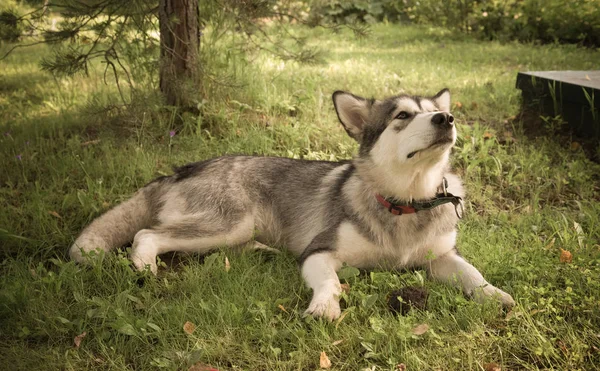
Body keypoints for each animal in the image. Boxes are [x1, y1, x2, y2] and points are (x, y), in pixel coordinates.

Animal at [70, 89, 516, 320]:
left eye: (436, 110)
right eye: (402, 115)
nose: (446, 118)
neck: (404, 202)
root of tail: (183, 168)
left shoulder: (443, 258)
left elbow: (473, 274)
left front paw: (496, 296)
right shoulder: (319, 252)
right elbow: (331, 281)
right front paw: (324, 306)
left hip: (233, 231)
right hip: (228, 223)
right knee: (147, 233)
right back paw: (144, 267)